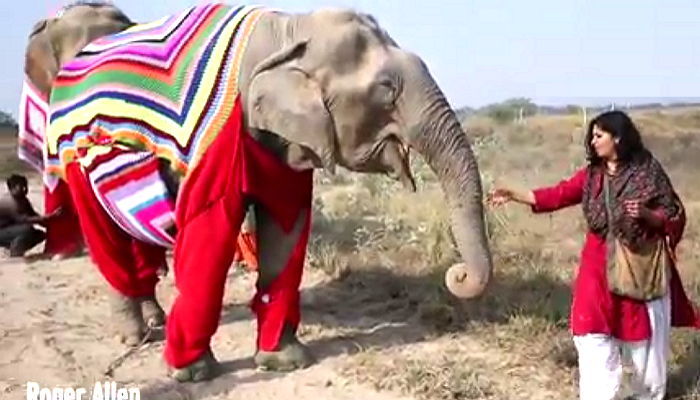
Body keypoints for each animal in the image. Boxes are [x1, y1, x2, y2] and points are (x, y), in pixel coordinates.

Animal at [24, 2, 494, 382]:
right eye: (387, 90)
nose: (457, 275)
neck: (287, 28)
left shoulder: (283, 137)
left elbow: (286, 222)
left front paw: (284, 361)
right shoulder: (213, 137)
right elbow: (209, 223)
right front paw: (190, 373)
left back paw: (153, 323)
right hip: (77, 152)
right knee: (106, 236)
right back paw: (133, 335)